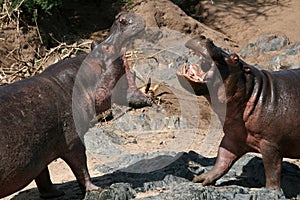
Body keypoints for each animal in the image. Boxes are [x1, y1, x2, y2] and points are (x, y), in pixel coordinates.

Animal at [0, 12, 150, 198]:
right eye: (106, 48)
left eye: (94, 44)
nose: (121, 17)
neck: (83, 81)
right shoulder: (73, 142)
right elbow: (81, 167)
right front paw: (95, 189)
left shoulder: (39, 152)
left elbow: (43, 174)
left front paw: (55, 193)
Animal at [177, 35, 298, 191]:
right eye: (225, 48)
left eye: (235, 58)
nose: (204, 37)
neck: (254, 91)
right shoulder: (233, 137)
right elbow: (222, 159)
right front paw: (201, 179)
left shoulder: (270, 143)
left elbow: (272, 170)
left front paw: (272, 191)